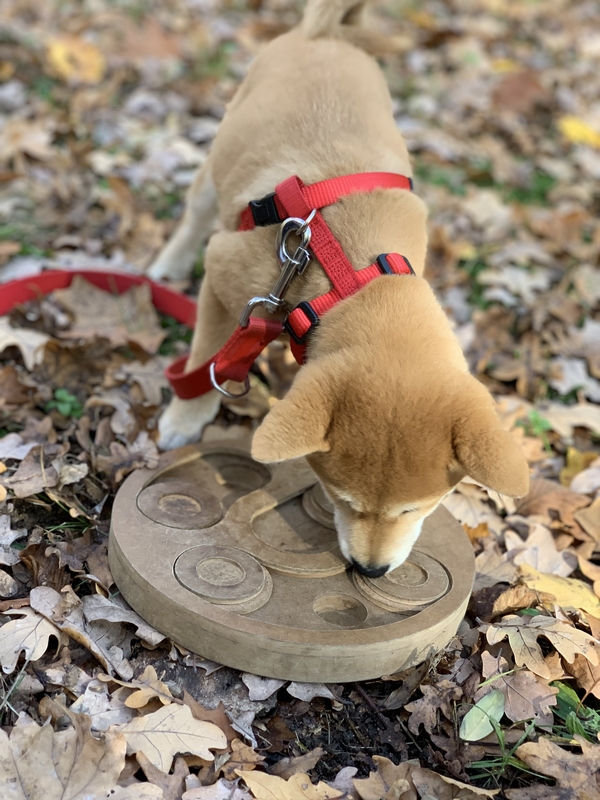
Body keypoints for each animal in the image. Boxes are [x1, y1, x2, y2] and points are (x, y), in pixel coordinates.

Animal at [149, 0, 528, 576]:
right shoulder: (223, 275)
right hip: (218, 163)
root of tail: (323, 35)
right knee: (195, 213)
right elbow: (207, 361)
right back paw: (168, 262)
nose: (370, 570)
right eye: (341, 499)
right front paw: (186, 416)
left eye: (418, 508)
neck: (353, 273)